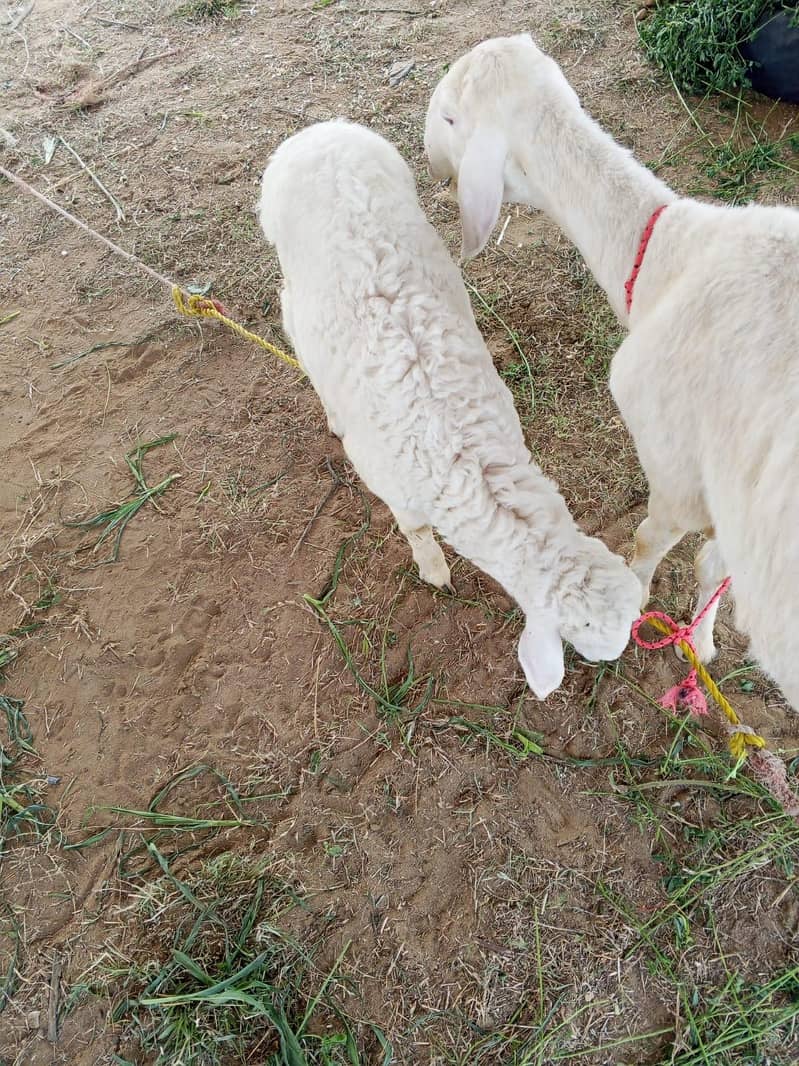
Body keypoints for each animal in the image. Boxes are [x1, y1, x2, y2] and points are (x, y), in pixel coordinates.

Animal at [258, 119, 641, 699]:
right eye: (588, 643)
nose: (618, 664)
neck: (464, 453)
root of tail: (317, 133)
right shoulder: (390, 483)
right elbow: (415, 529)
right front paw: (434, 570)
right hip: (290, 266)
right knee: (290, 317)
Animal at [424, 33, 799, 709]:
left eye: (448, 118)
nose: (426, 155)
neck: (668, 258)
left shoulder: (676, 465)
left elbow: (653, 543)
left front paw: (644, 607)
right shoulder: (731, 490)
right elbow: (715, 566)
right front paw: (702, 644)